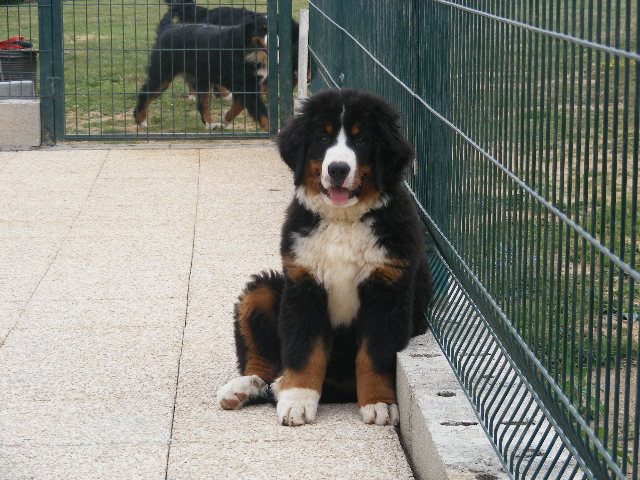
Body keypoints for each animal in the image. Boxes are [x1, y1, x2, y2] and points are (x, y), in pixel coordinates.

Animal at [134, 16, 269, 131]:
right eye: (262, 29)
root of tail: (167, 29)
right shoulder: (246, 85)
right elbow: (262, 113)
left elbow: (238, 106)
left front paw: (225, 120)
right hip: (163, 76)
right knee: (144, 95)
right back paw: (141, 120)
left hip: (203, 79)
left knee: (202, 104)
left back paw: (211, 124)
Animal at [216, 89, 433, 426]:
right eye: (322, 137)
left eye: (362, 140)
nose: (338, 169)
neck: (342, 221)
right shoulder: (303, 284)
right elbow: (304, 350)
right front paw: (298, 399)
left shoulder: (388, 291)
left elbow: (374, 355)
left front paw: (380, 403)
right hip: (263, 289)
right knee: (264, 360)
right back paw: (245, 387)